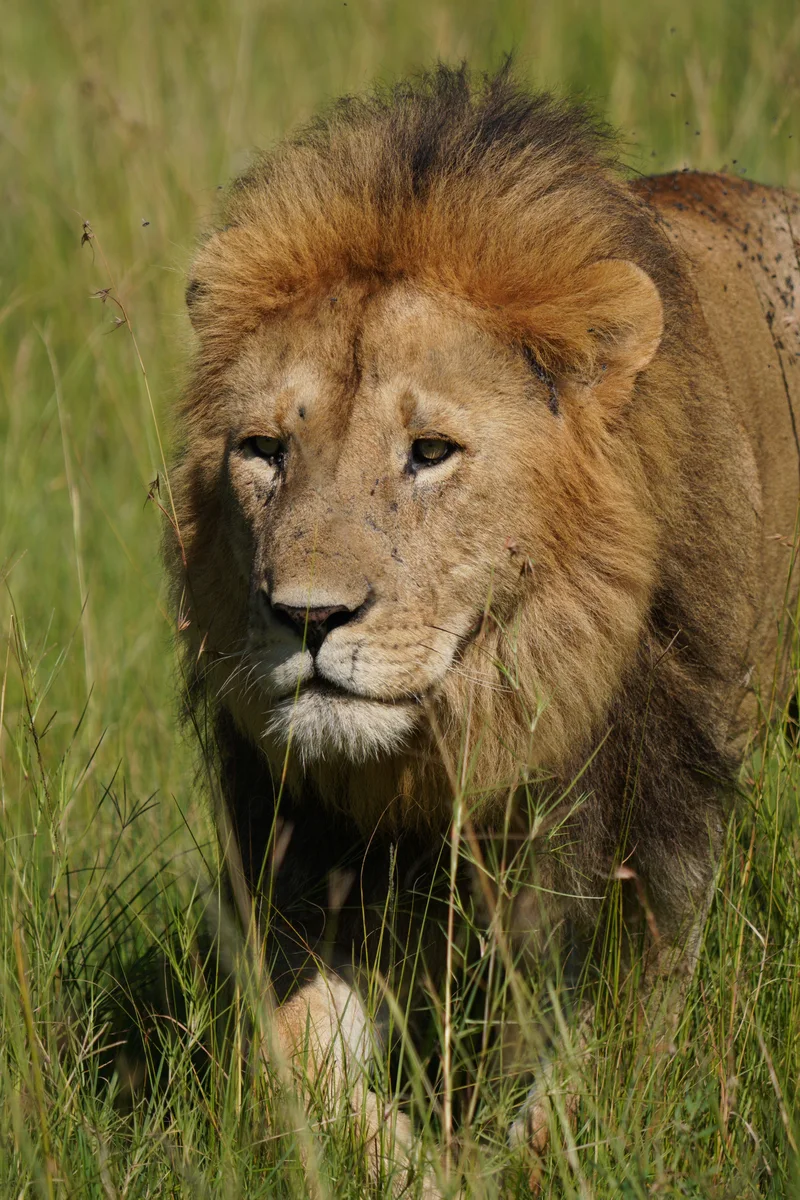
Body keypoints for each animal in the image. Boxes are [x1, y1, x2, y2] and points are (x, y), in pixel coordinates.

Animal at [168, 64, 800, 1193]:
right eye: (262, 450)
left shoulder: (652, 849)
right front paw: (412, 1164)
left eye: (429, 452)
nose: (307, 615)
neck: (477, 734)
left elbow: (596, 1075)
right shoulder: (310, 855)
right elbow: (299, 1055)